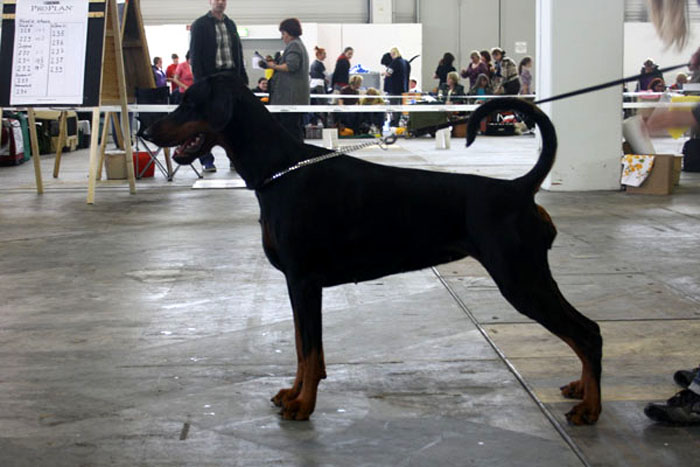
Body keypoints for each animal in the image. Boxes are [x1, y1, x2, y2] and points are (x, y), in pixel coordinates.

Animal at [143, 72, 603, 425]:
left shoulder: (304, 281)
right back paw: (581, 389)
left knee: (587, 332)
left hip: (520, 279)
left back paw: (591, 408)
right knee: (584, 331)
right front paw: (293, 393)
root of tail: (519, 189)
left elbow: (309, 350)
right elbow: (302, 348)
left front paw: (303, 405)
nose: (146, 131)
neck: (279, 170)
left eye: (188, 103)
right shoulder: (297, 285)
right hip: (529, 276)